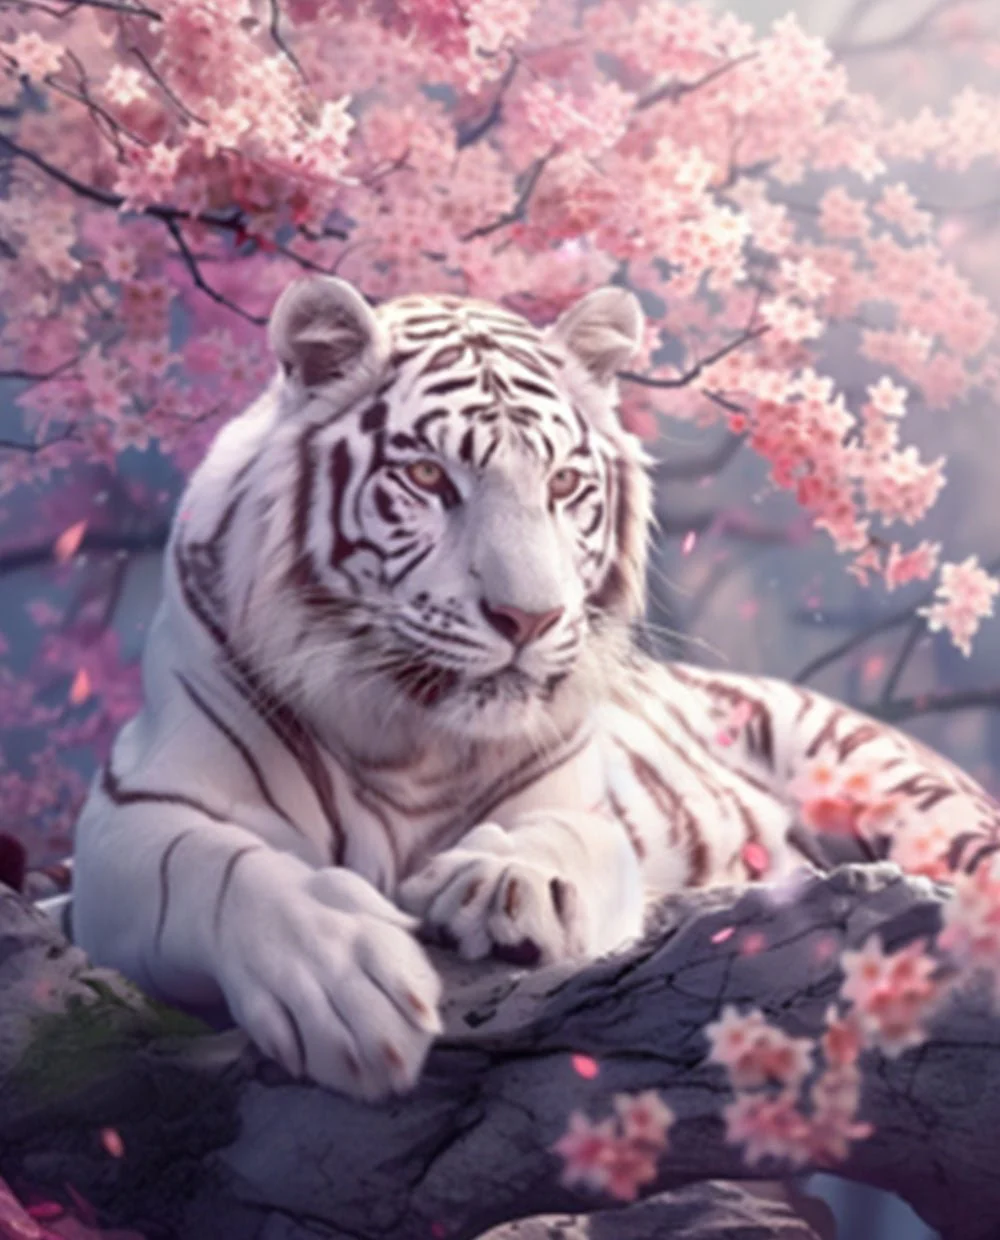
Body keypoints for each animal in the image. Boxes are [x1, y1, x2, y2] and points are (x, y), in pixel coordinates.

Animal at [63, 274, 1000, 1102]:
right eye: (428, 480)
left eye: (564, 485)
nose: (530, 617)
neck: (404, 738)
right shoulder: (126, 819)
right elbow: (221, 868)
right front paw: (341, 976)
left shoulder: (584, 805)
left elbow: (571, 836)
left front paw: (509, 882)